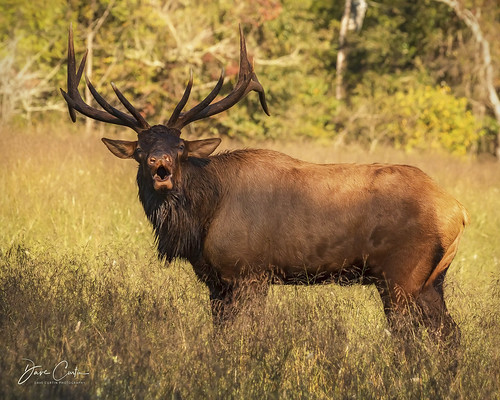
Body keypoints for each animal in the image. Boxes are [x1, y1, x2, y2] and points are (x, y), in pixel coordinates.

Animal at [61, 25, 468, 338]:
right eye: (141, 148)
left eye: (180, 147)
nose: (159, 162)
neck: (203, 218)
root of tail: (458, 211)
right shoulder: (217, 283)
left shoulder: (249, 272)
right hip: (430, 281)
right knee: (450, 335)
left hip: (402, 276)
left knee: (414, 338)